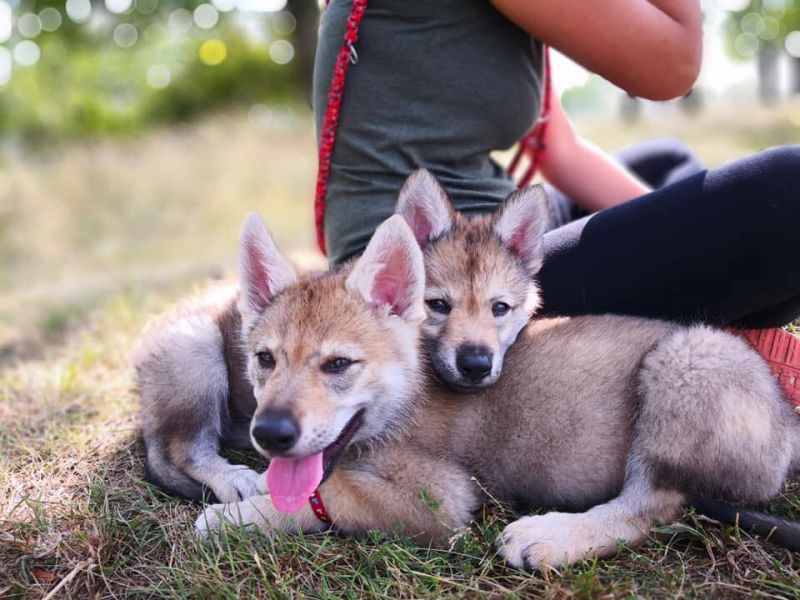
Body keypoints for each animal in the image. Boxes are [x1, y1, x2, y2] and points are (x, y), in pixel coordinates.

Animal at [192, 203, 800, 569]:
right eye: (265, 359)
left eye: (339, 364)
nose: (269, 433)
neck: (402, 403)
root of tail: (788, 423)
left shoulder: (440, 501)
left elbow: (328, 495)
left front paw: (237, 518)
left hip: (685, 360)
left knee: (650, 508)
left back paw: (553, 537)